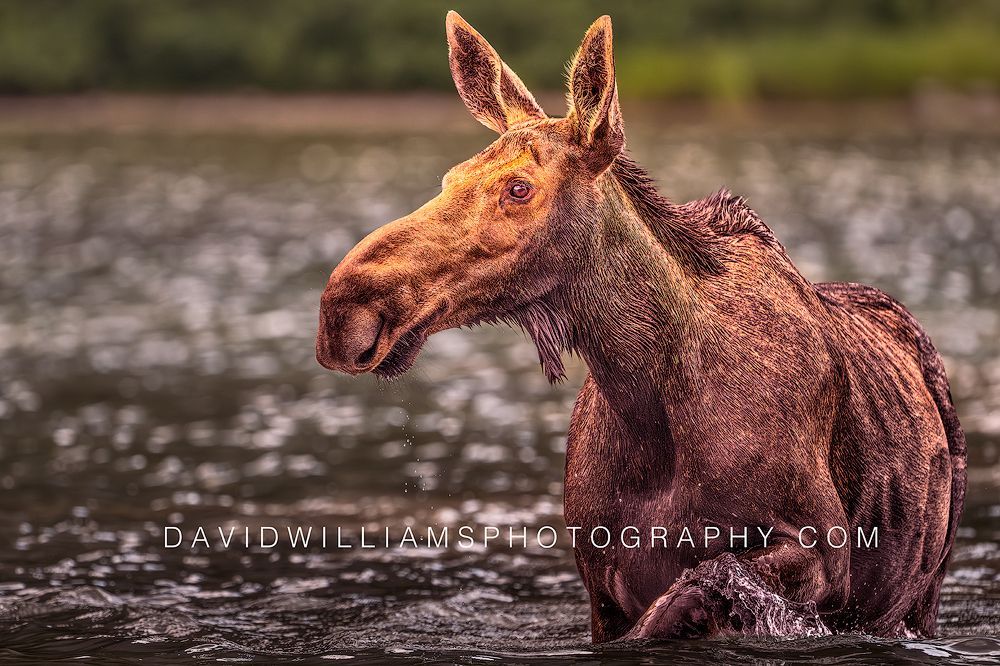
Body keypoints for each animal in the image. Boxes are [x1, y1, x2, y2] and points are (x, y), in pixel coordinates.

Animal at [316, 11, 967, 642]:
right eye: (450, 178)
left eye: (519, 187)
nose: (342, 309)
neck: (647, 396)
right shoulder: (601, 589)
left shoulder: (820, 553)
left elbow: (694, 587)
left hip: (921, 597)